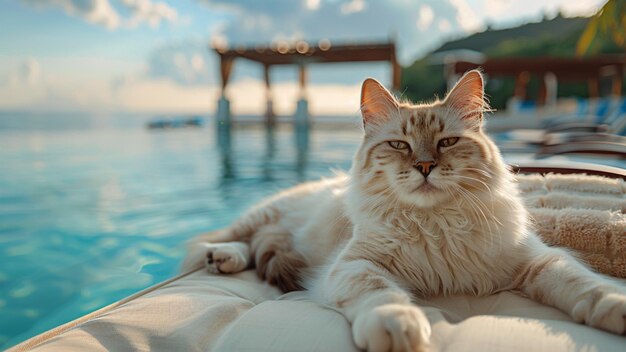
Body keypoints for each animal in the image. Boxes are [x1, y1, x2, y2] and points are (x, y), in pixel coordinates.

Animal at [182, 70, 624, 350]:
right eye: (399, 145)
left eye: (446, 143)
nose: (425, 166)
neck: (436, 224)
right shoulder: (356, 264)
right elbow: (382, 295)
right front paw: (400, 328)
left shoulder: (536, 259)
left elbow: (585, 285)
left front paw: (613, 308)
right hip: (264, 216)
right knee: (224, 241)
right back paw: (221, 257)